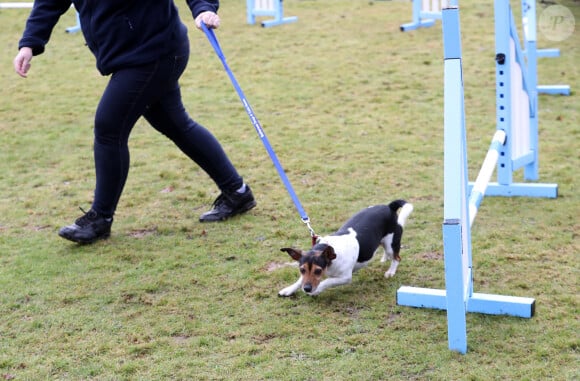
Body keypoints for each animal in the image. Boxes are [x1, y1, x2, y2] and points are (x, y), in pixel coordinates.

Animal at [280, 200, 412, 296]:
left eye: (318, 271)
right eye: (302, 270)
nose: (307, 289)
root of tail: (389, 207)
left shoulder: (345, 278)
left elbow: (327, 281)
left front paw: (317, 290)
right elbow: (300, 280)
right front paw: (289, 289)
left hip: (391, 243)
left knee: (396, 258)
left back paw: (390, 271)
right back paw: (385, 258)